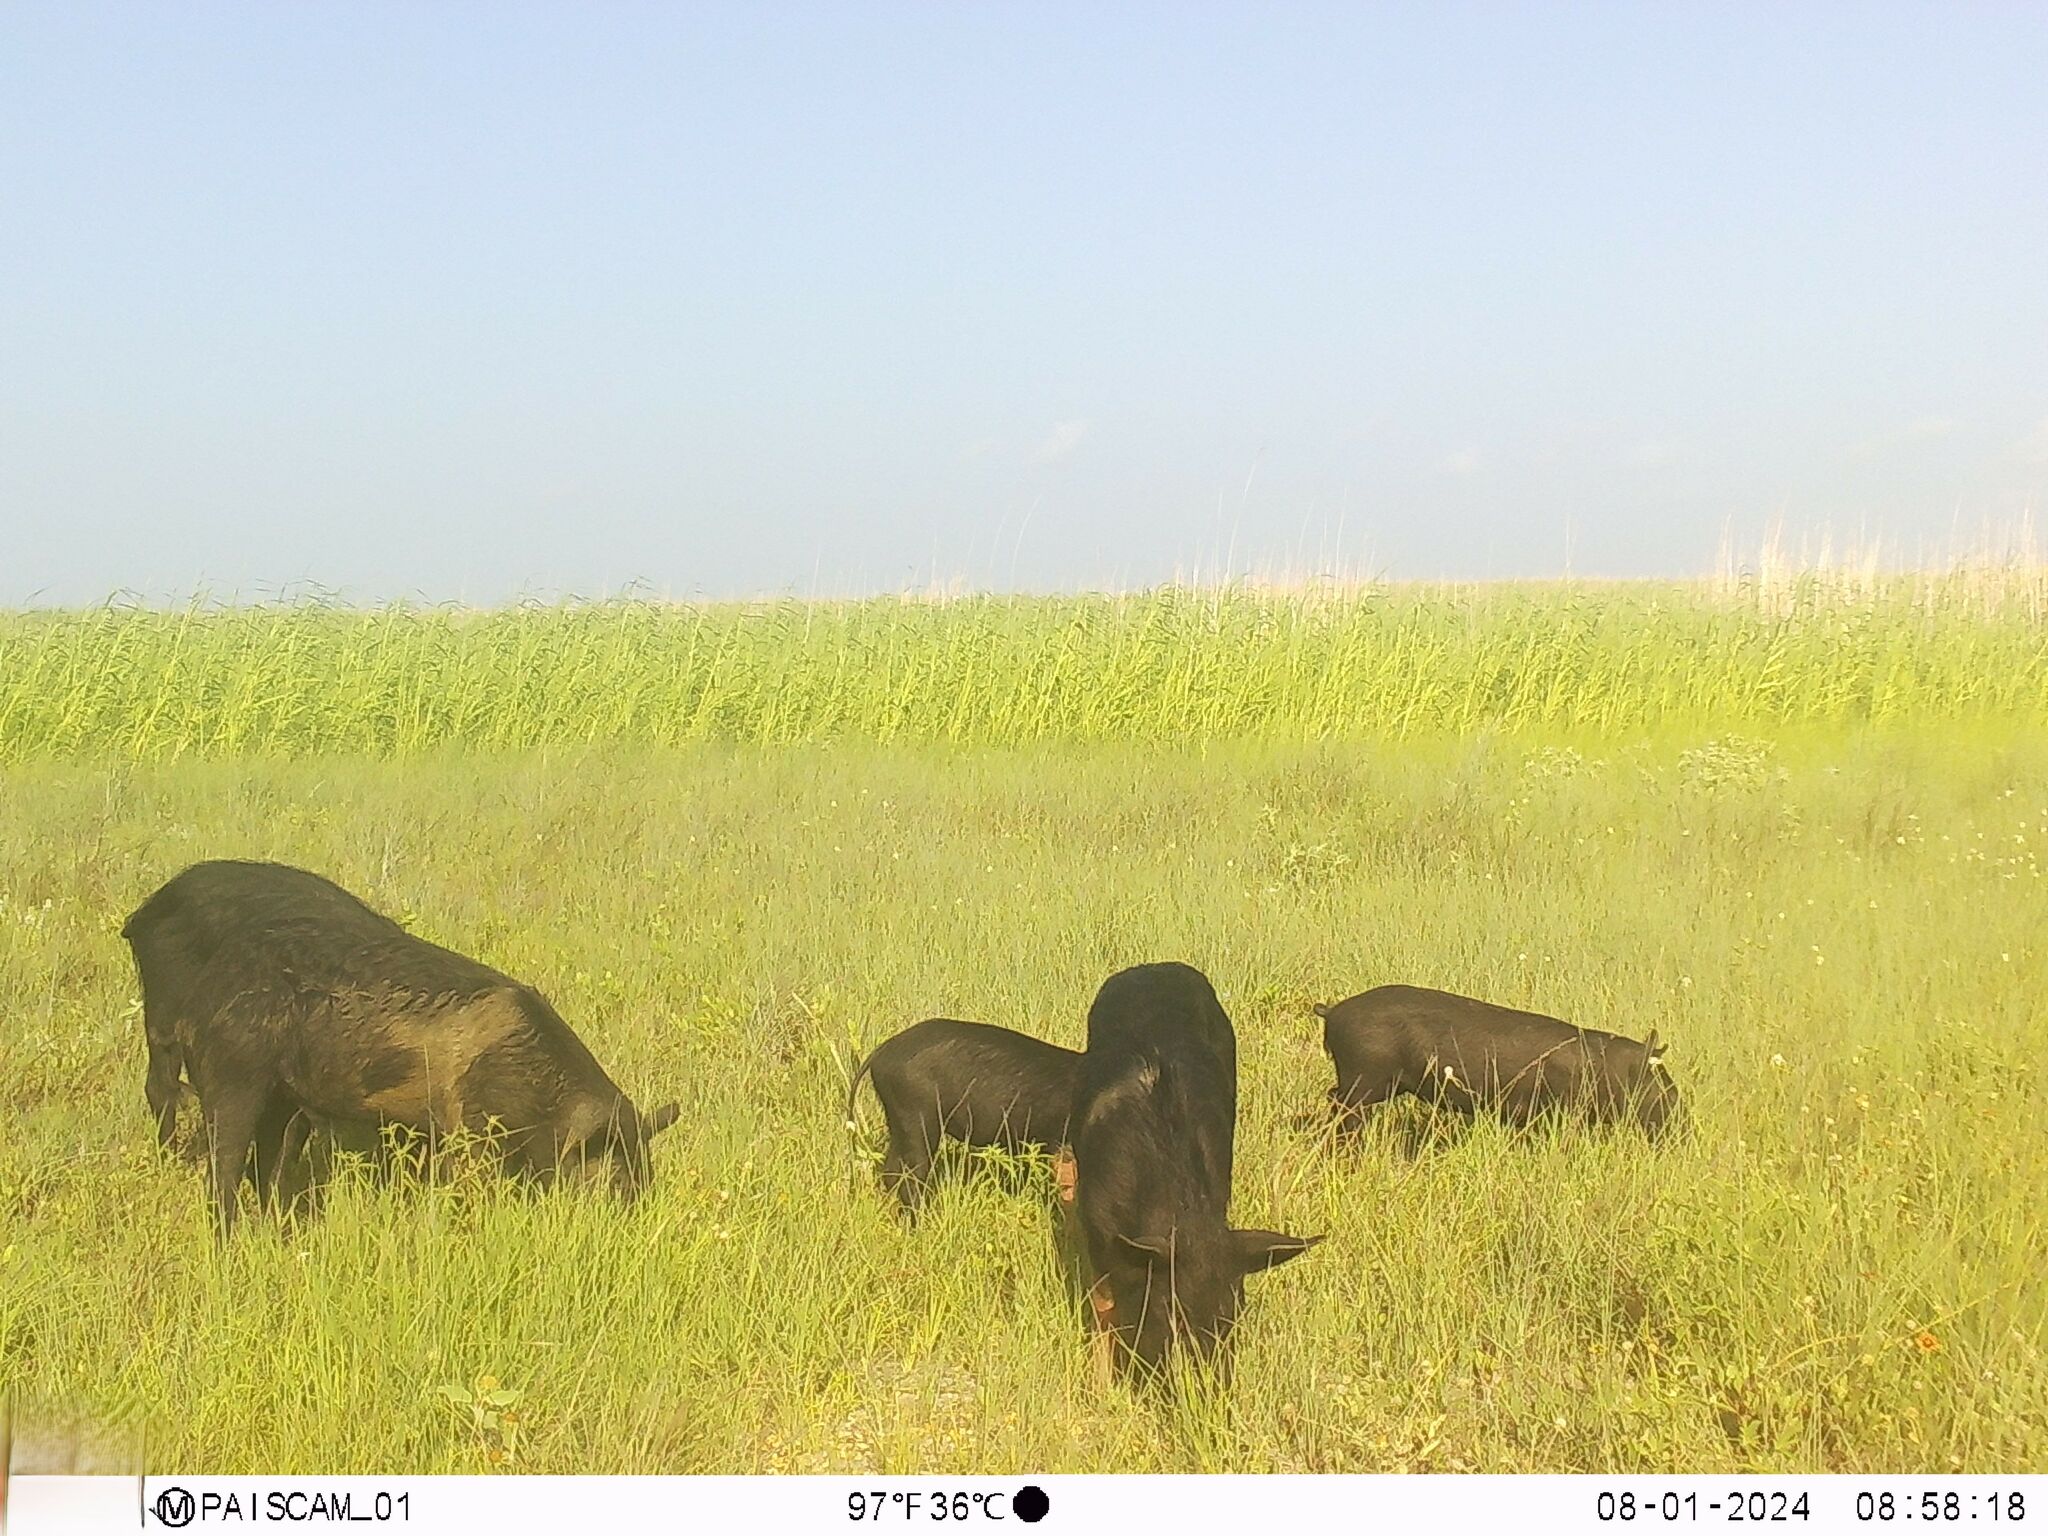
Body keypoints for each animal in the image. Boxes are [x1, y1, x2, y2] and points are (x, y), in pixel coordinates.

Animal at [121, 859, 679, 1236]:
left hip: (279, 1094)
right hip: (224, 1069)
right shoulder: (466, 1126)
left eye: (645, 1170)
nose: (635, 1221)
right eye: (616, 1176)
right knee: (209, 1148)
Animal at [1068, 962, 1319, 1382]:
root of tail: (1157, 967)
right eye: (1171, 1309)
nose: (1213, 1384)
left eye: (1236, 1311)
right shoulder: (1097, 1235)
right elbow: (1104, 1310)